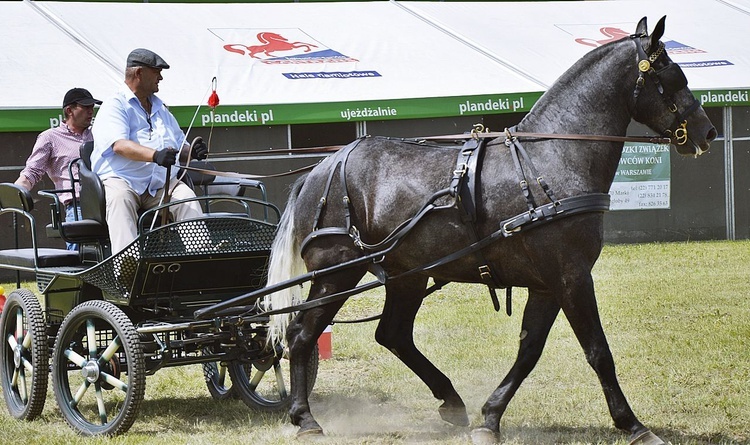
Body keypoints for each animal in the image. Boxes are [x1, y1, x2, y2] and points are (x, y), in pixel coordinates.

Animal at [262, 15, 716, 442]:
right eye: (673, 77)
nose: (707, 132)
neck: (552, 158)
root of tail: (320, 170)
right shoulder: (571, 276)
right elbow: (598, 351)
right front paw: (633, 425)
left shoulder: (549, 283)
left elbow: (529, 350)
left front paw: (491, 417)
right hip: (337, 273)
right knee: (302, 335)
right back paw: (305, 418)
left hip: (406, 275)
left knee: (392, 334)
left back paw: (451, 401)